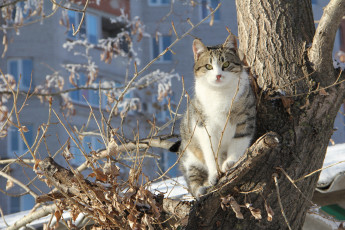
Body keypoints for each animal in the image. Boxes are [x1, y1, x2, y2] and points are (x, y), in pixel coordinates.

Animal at [177, 33, 255, 199]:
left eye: (226, 64)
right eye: (208, 66)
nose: (218, 75)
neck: (220, 94)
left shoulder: (246, 118)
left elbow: (238, 141)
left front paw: (230, 162)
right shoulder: (204, 126)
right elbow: (211, 152)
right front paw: (215, 173)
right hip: (189, 157)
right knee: (193, 178)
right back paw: (201, 188)